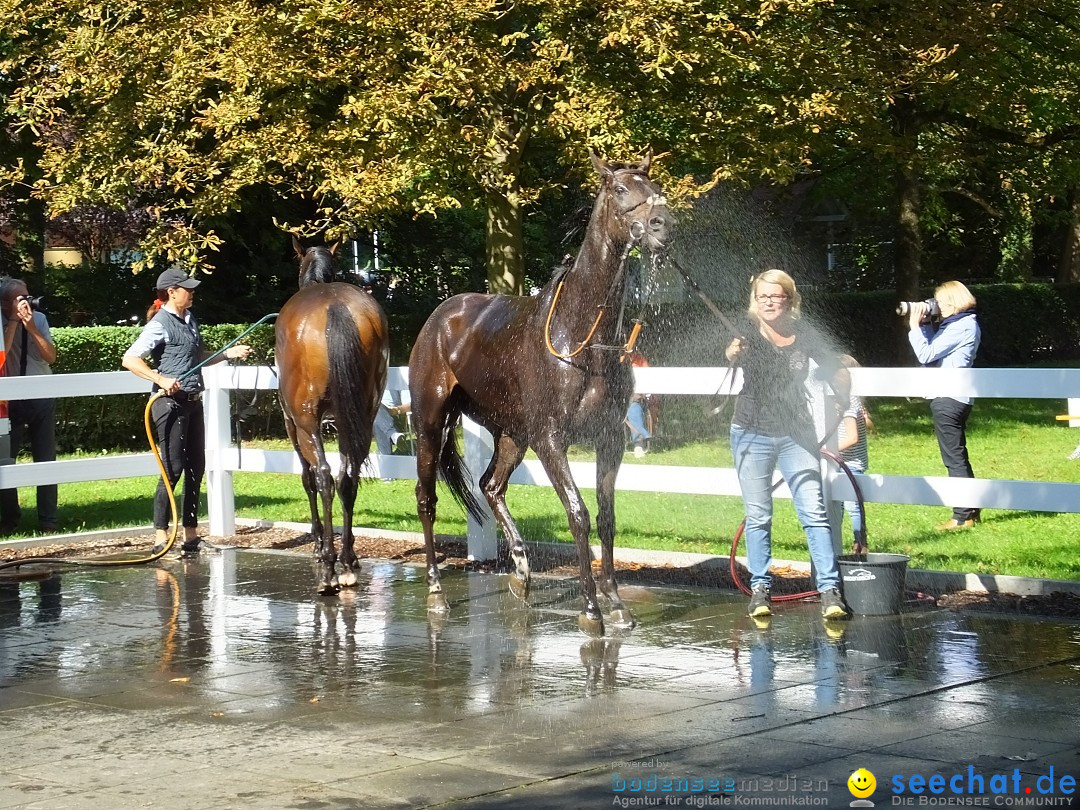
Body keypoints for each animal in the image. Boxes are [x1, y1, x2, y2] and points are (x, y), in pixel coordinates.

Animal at [276, 237, 390, 591]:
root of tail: (334, 306)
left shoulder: (292, 424)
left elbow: (308, 478)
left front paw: (317, 546)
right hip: (363, 417)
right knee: (347, 478)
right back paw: (348, 560)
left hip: (306, 421)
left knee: (325, 476)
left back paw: (328, 566)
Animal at [408, 151, 669, 635]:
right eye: (620, 189)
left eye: (655, 187)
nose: (662, 224)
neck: (583, 337)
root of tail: (441, 316)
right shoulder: (551, 440)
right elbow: (578, 514)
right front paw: (591, 610)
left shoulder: (610, 437)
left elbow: (605, 516)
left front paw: (616, 604)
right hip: (431, 422)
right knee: (427, 498)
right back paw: (436, 592)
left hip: (512, 433)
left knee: (491, 486)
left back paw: (522, 573)